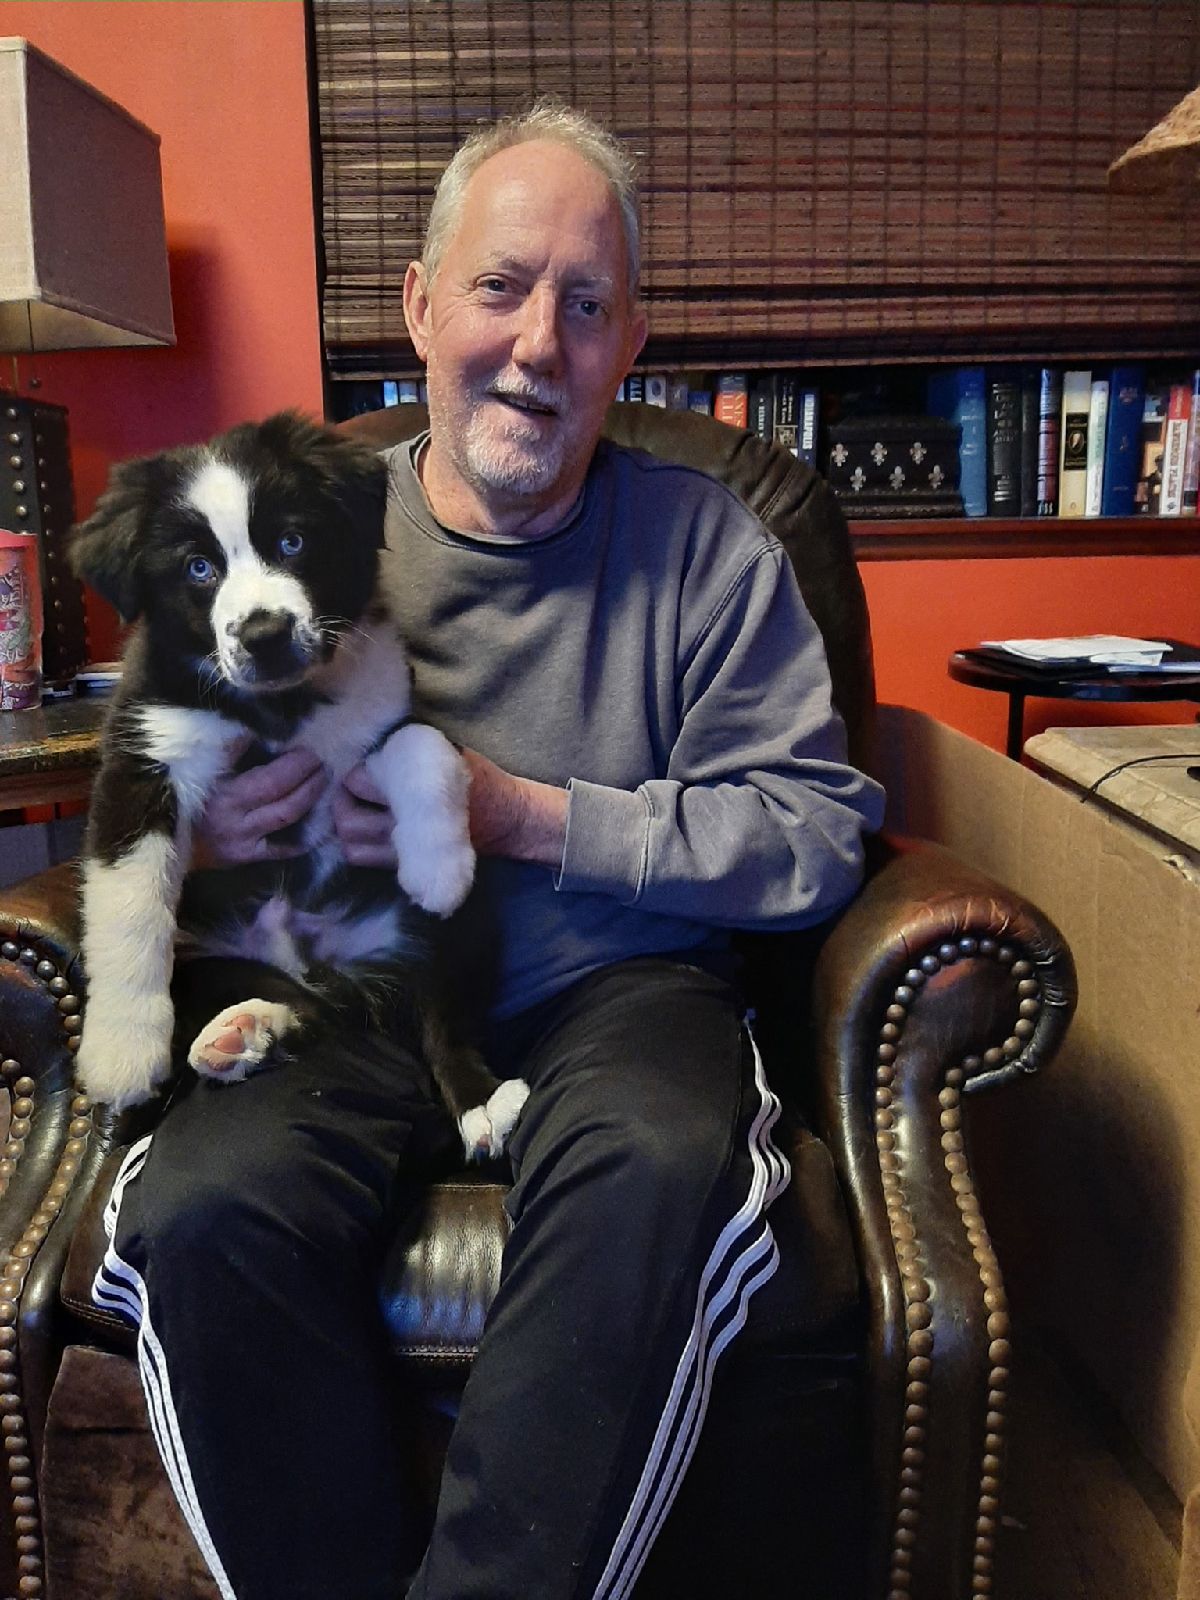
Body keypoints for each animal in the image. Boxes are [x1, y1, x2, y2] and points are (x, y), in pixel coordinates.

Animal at [69, 411, 527, 1159]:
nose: (265, 634)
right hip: (213, 952)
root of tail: (332, 969)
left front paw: (438, 866)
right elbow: (128, 903)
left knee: (441, 1014)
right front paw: (122, 1052)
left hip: (460, 930)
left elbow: (425, 746)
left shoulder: (379, 715)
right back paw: (243, 1032)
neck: (282, 706)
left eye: (293, 540)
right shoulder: (144, 756)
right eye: (198, 568)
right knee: (308, 1010)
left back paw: (480, 1102)